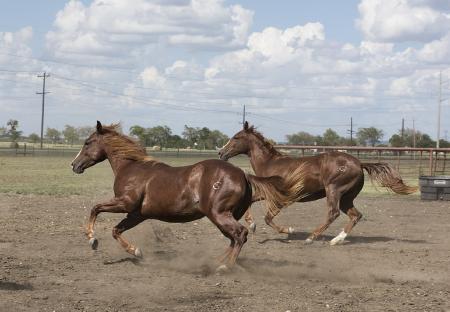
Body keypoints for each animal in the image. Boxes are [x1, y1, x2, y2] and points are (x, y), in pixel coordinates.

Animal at [72, 120, 294, 270]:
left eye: (87, 142)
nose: (74, 165)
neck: (131, 168)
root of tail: (243, 175)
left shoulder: (125, 203)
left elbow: (95, 208)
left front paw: (92, 239)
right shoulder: (137, 214)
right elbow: (116, 230)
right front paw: (136, 251)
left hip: (219, 214)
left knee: (240, 234)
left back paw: (225, 266)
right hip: (222, 216)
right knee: (234, 238)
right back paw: (217, 261)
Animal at [216, 122, 416, 246]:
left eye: (236, 137)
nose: (221, 153)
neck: (271, 164)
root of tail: (359, 163)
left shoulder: (282, 198)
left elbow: (268, 218)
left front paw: (289, 230)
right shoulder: (269, 193)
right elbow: (251, 201)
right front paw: (252, 224)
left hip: (334, 190)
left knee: (333, 213)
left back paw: (311, 238)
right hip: (347, 197)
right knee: (355, 215)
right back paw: (336, 240)